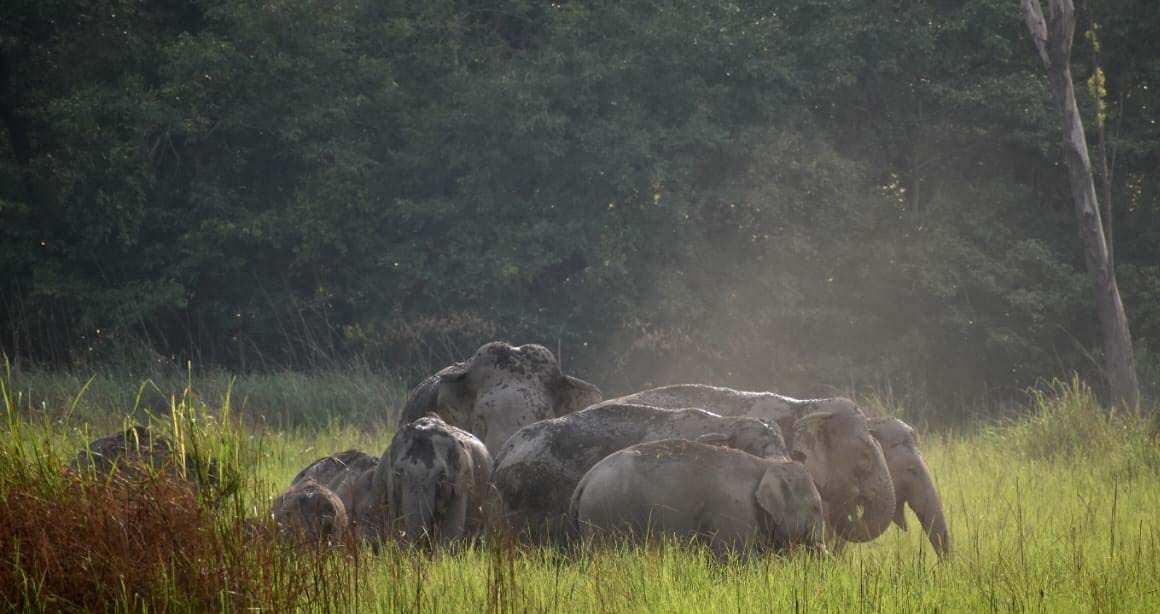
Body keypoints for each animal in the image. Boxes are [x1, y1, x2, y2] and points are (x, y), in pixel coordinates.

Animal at [570, 439, 825, 557]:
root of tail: (584, 481)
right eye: (816, 508)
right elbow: (738, 558)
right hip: (603, 517)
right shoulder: (732, 512)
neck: (764, 464)